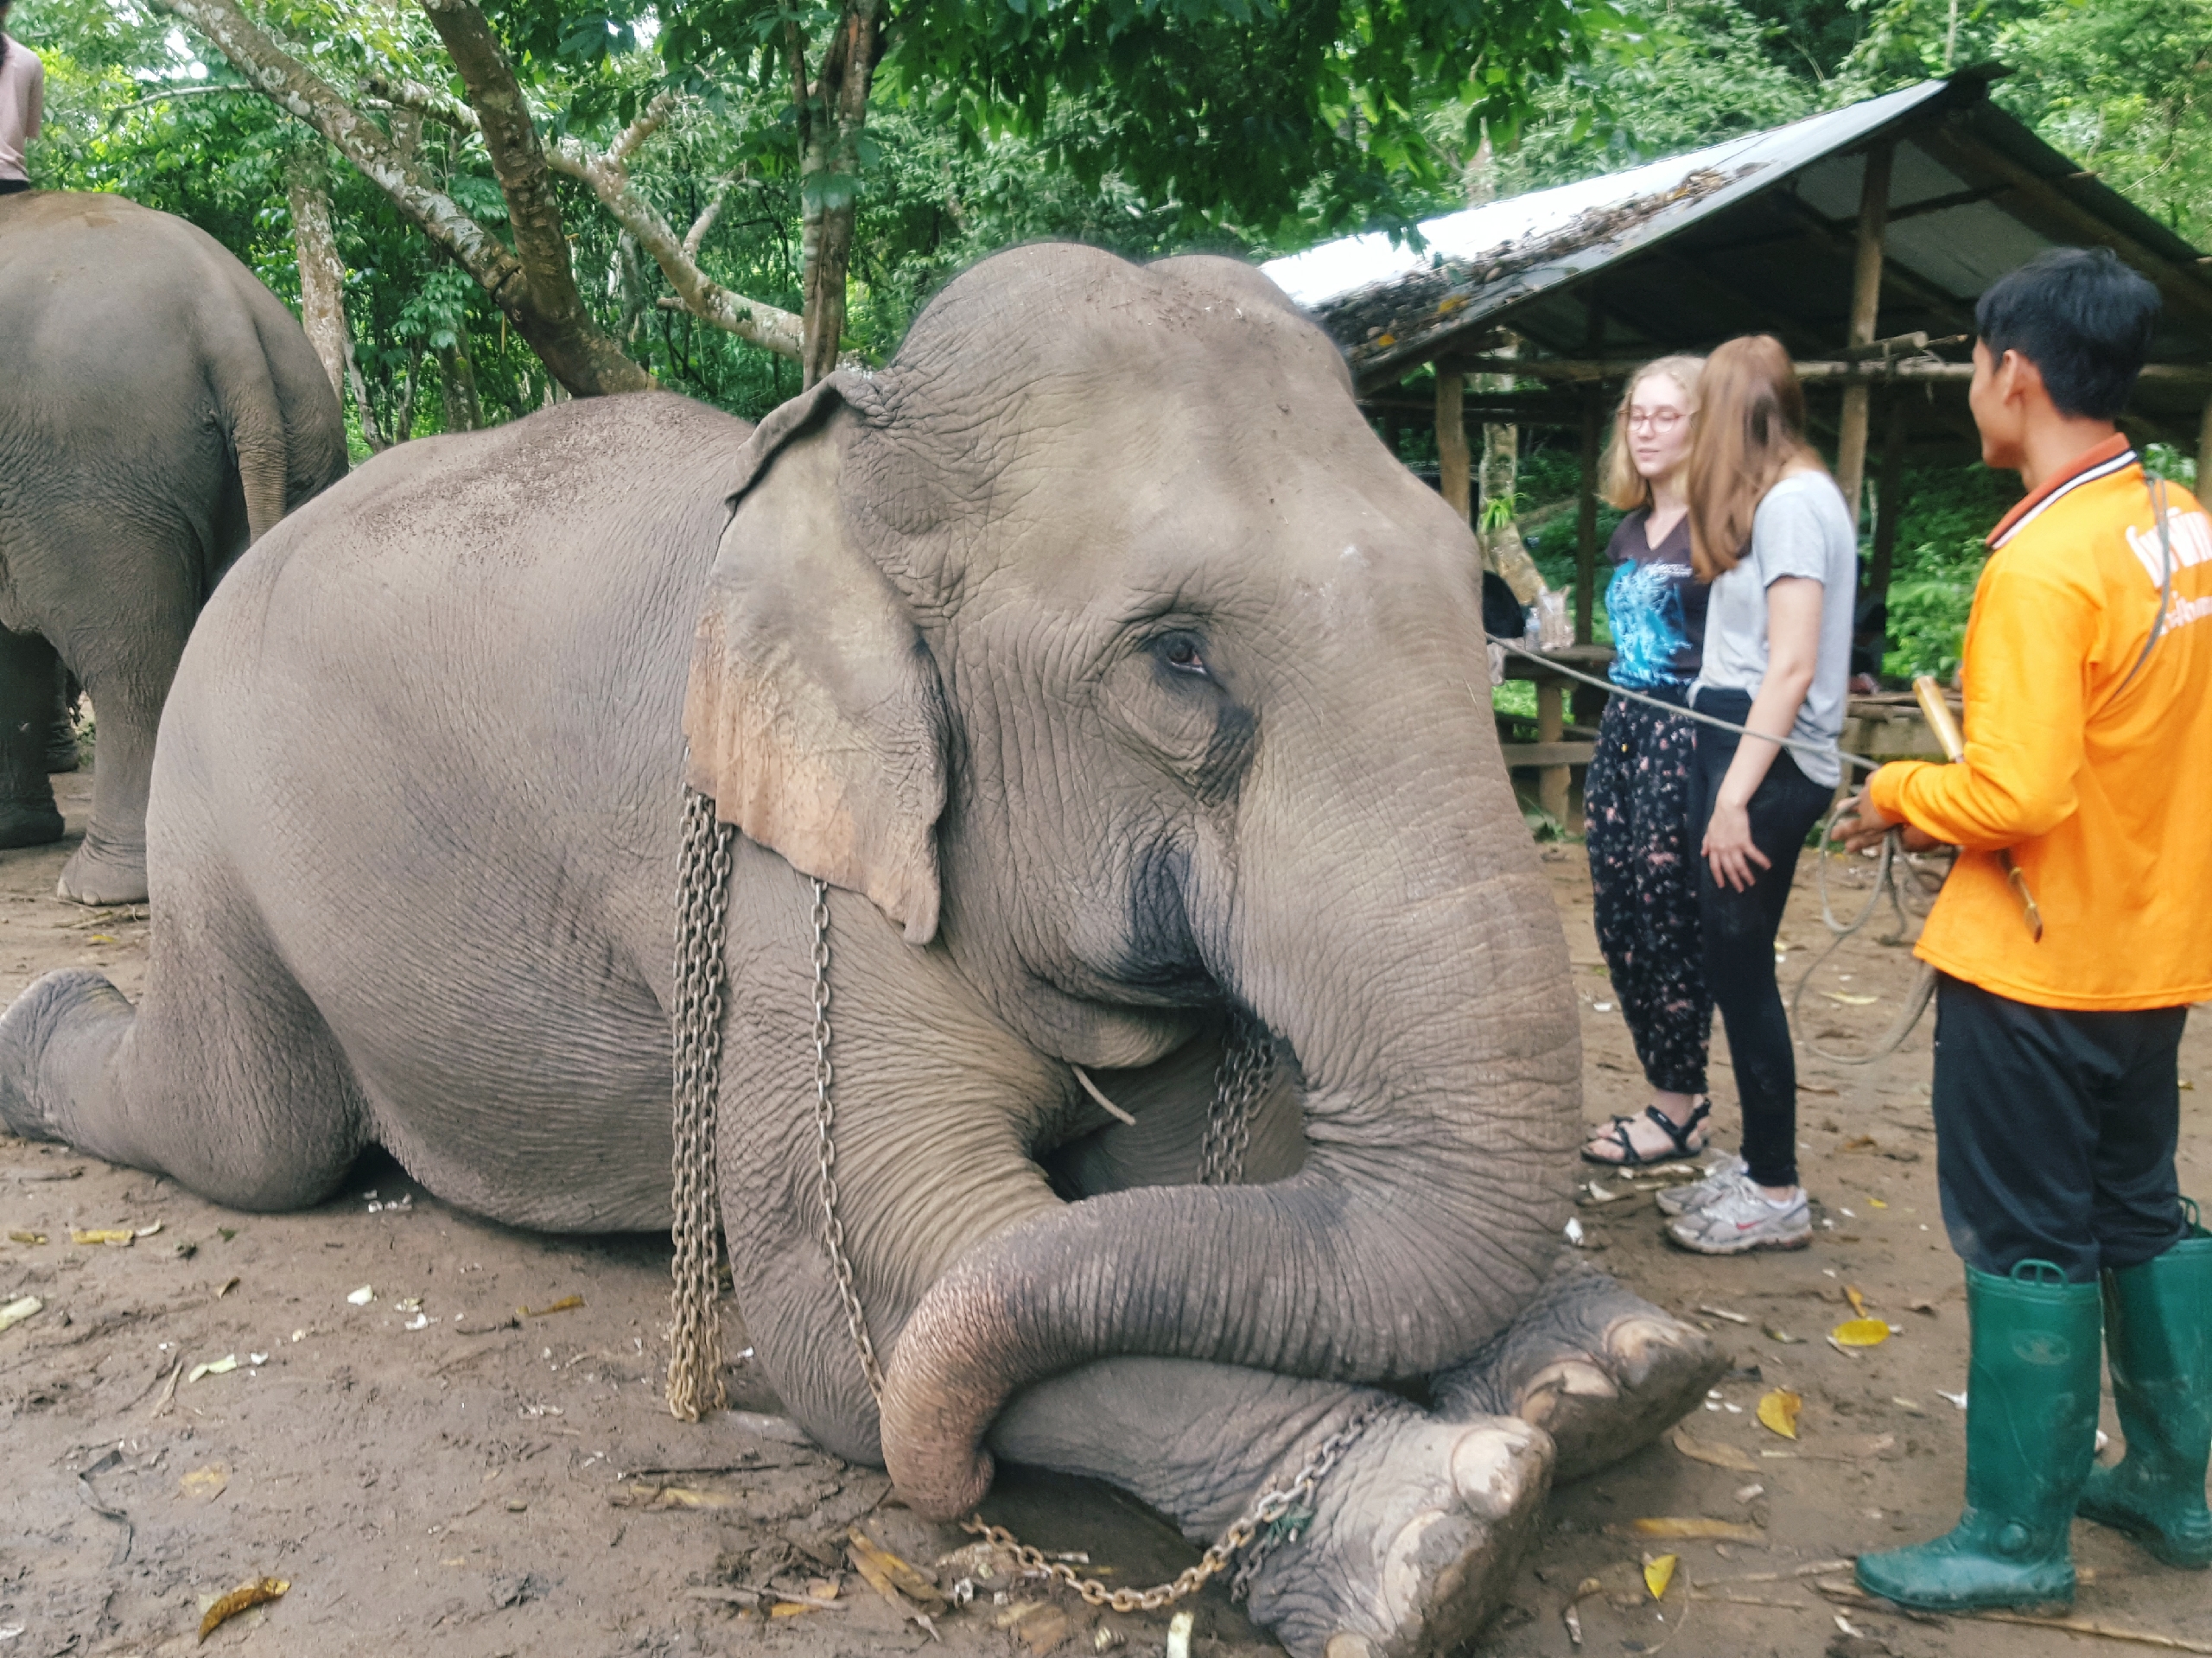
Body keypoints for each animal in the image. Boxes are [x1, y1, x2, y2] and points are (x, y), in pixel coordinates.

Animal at [0, 191, 346, 911]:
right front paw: (17, 834)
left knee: (128, 664)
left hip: (96, 477)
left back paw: (99, 888)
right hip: (303, 441)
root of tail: (223, 310)